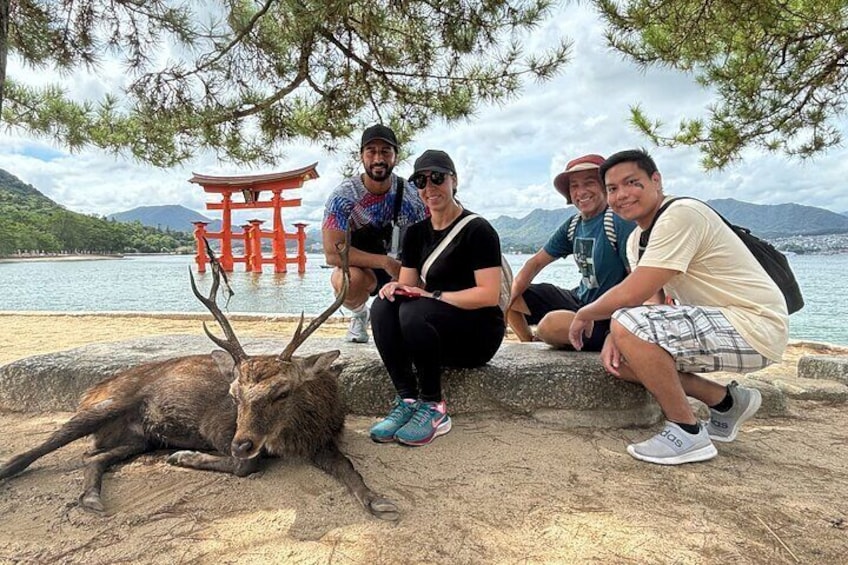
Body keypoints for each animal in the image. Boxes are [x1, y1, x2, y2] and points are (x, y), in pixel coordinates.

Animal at [0, 235, 400, 520]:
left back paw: (91, 499)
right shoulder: (217, 427)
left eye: (282, 392)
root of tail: (94, 389)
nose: (242, 442)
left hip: (139, 438)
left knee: (92, 457)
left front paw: (379, 501)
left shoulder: (322, 439)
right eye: (234, 394)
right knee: (31, 452)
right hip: (105, 405)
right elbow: (246, 466)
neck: (297, 432)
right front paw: (186, 456)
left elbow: (349, 468)